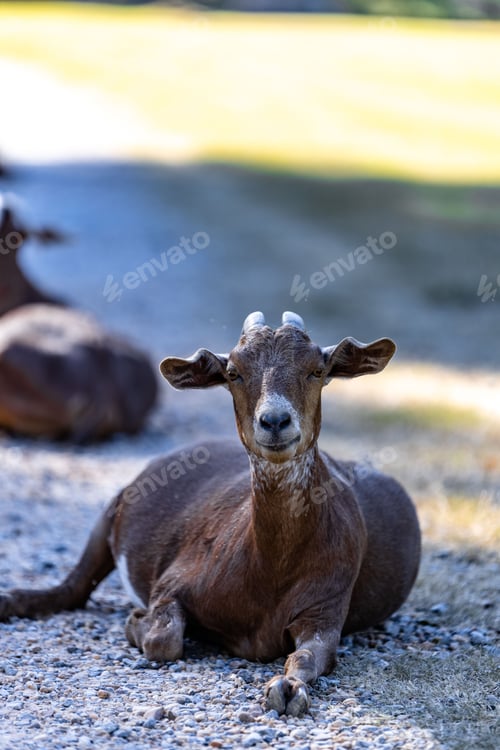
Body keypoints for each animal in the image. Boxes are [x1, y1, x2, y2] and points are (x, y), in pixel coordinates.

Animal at [0, 311, 421, 715]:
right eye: (233, 372)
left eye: (317, 370)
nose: (275, 421)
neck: (269, 570)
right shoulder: (174, 579)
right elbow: (164, 639)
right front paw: (137, 622)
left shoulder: (326, 605)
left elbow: (310, 656)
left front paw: (287, 689)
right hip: (114, 507)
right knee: (74, 586)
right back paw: (12, 601)